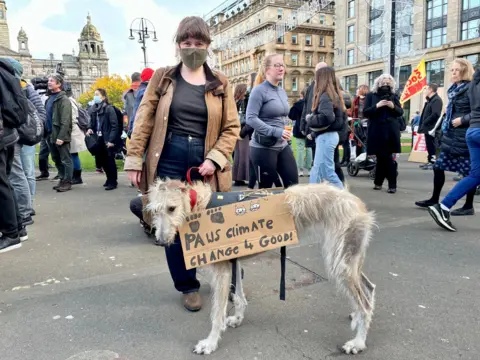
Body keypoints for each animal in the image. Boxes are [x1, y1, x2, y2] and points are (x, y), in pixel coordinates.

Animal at [146, 179, 376, 354]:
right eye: (155, 211)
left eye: (172, 208)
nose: (160, 241)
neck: (200, 205)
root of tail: (357, 203)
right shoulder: (234, 260)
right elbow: (239, 295)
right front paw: (238, 318)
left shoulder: (222, 270)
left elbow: (217, 313)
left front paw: (210, 343)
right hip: (349, 260)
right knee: (369, 287)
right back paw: (357, 317)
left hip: (340, 262)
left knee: (364, 303)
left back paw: (358, 342)